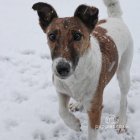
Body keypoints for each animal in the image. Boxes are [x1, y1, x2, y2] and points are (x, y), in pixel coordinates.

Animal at [32, 0, 133, 139]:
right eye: (51, 36)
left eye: (77, 36)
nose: (62, 68)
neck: (76, 76)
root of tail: (115, 18)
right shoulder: (61, 90)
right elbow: (61, 111)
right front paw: (74, 124)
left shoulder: (95, 108)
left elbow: (92, 133)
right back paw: (77, 104)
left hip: (124, 73)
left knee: (124, 99)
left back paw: (121, 121)